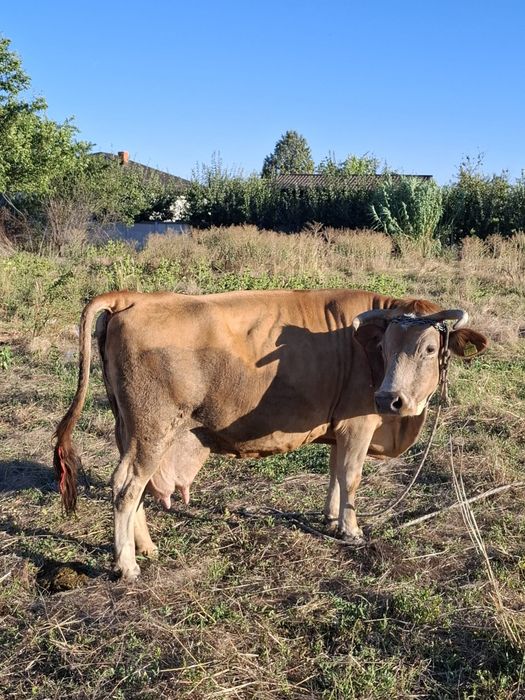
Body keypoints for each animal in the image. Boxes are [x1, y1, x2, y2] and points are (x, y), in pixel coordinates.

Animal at [53, 289, 488, 580]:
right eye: (386, 346)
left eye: (428, 348)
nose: (389, 398)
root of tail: (132, 298)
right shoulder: (359, 425)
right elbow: (350, 477)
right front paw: (351, 530)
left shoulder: (339, 428)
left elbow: (334, 474)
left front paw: (330, 518)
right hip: (152, 430)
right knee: (126, 486)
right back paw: (127, 564)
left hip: (128, 429)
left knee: (134, 487)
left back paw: (145, 546)